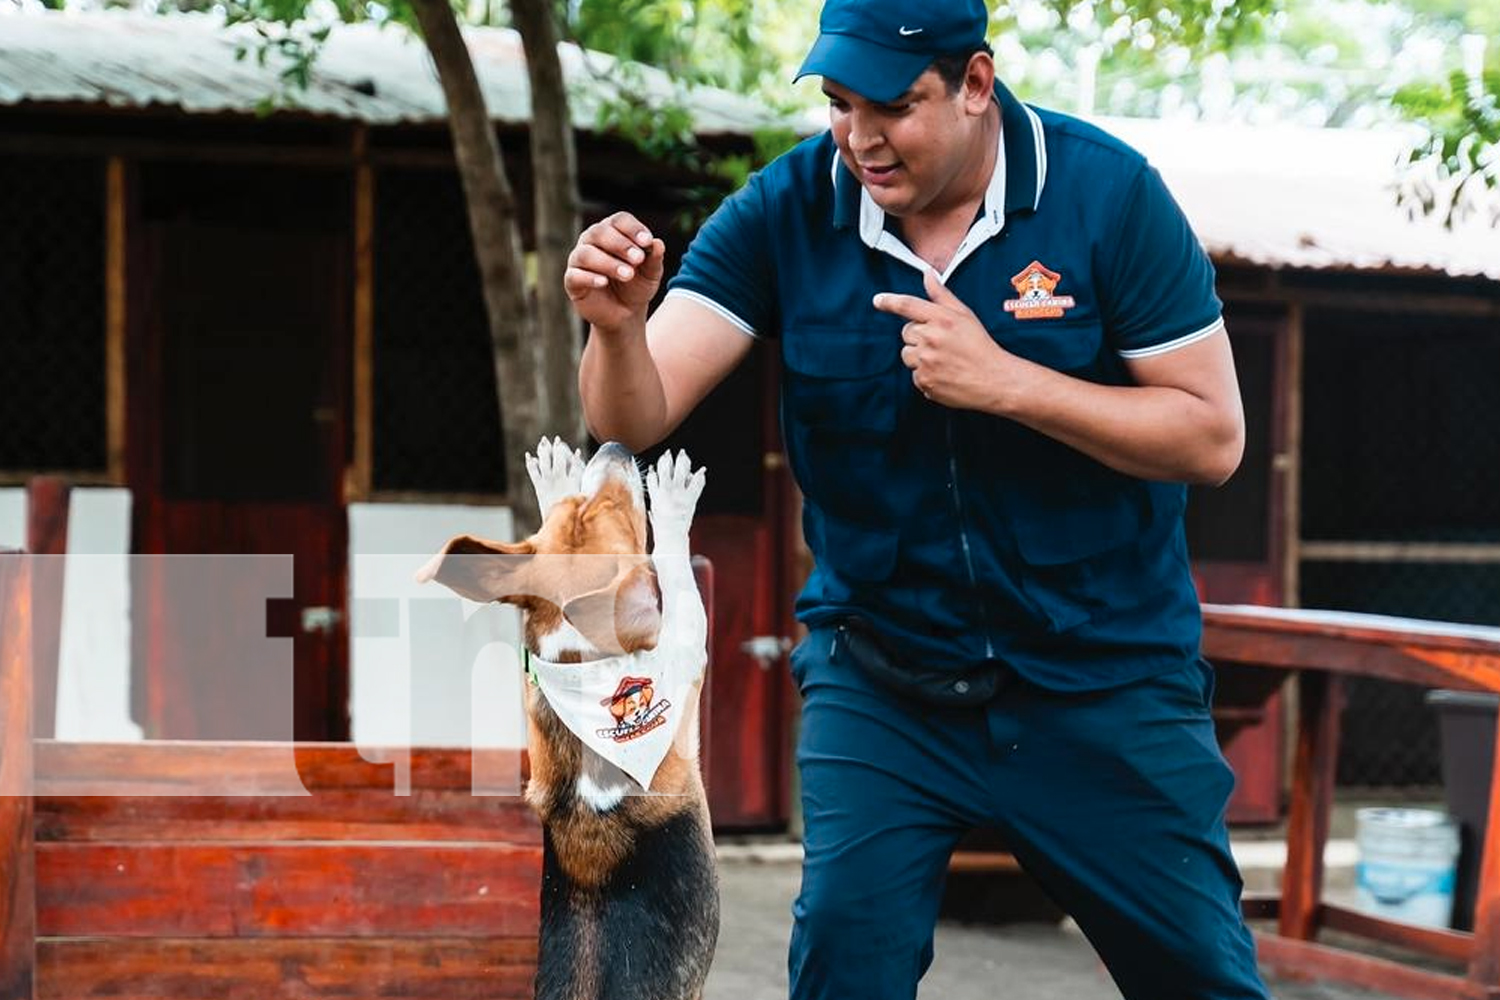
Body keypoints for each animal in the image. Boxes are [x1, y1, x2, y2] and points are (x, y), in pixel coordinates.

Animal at [420, 437, 723, 1000]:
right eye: (624, 515)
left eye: (583, 506)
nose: (614, 446)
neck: (583, 665)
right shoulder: (686, 649)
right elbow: (677, 579)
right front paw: (674, 501)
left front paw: (553, 476)